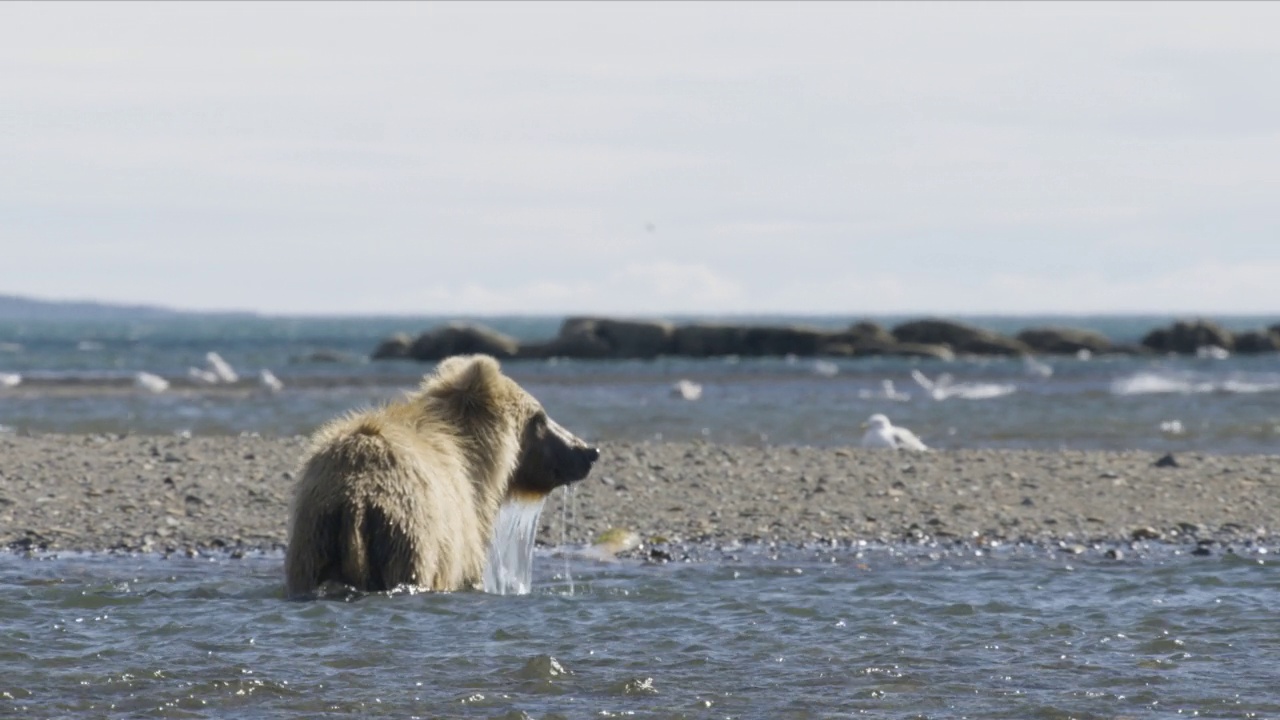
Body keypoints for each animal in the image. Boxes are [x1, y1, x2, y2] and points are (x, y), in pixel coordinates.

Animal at [284, 353, 599, 594]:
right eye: (540, 417)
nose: (588, 451)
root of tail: (355, 500)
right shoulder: (463, 531)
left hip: (314, 537)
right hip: (407, 535)